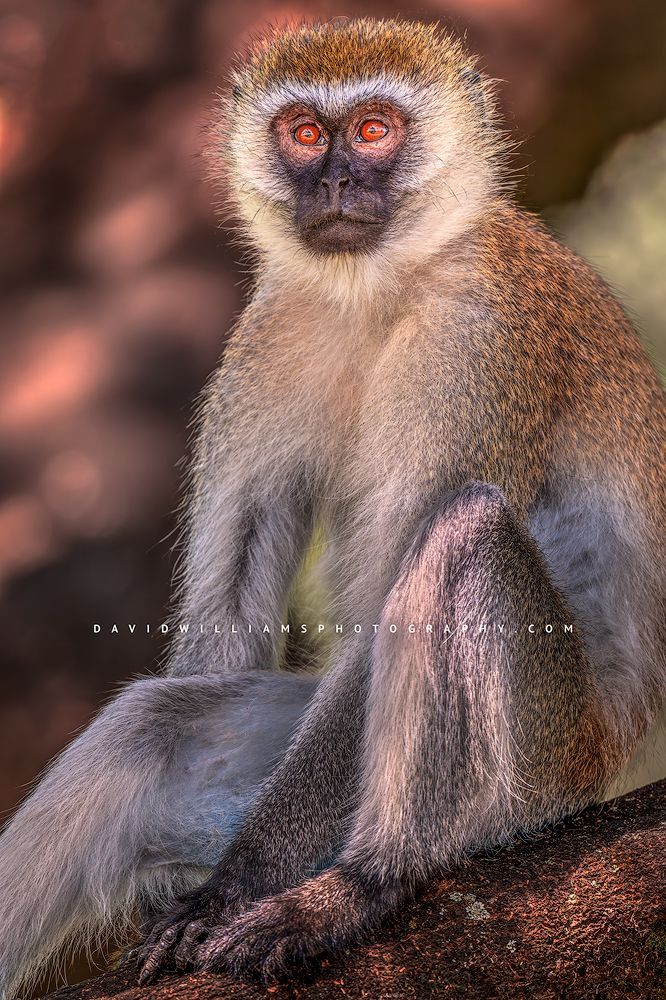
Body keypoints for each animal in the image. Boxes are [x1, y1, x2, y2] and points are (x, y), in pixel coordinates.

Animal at [0, 16, 665, 996]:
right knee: (153, 724)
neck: (376, 291)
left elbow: (401, 574)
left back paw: (357, 884)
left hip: (546, 765)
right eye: (307, 134)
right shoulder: (267, 332)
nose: (339, 182)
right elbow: (226, 618)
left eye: (376, 130)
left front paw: (236, 886)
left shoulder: (481, 339)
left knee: (463, 534)